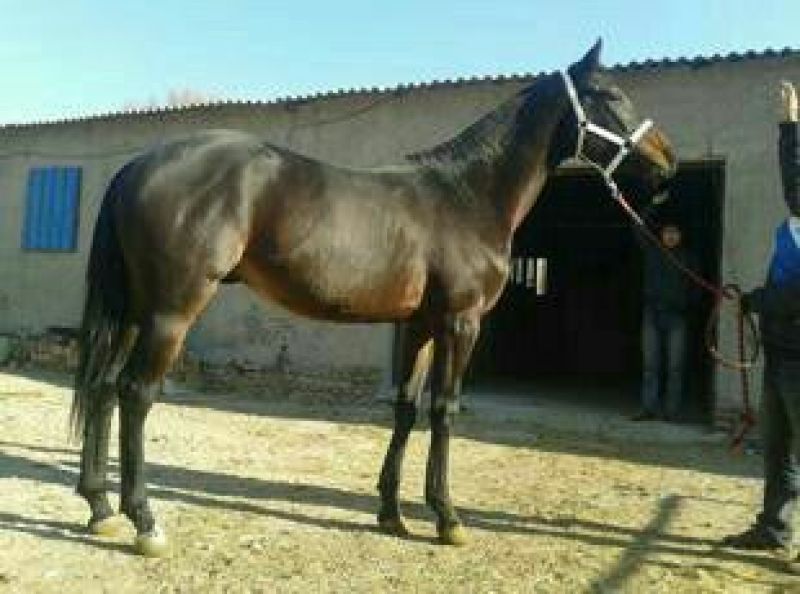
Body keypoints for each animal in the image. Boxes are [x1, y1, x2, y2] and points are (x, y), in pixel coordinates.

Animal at [71, 40, 676, 556]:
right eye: (611, 95)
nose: (667, 159)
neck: (466, 195)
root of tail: (136, 165)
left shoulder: (421, 325)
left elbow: (406, 409)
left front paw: (391, 512)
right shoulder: (461, 323)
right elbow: (445, 410)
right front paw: (448, 518)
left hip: (134, 311)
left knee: (102, 387)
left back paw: (100, 508)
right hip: (171, 312)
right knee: (135, 394)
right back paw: (143, 521)